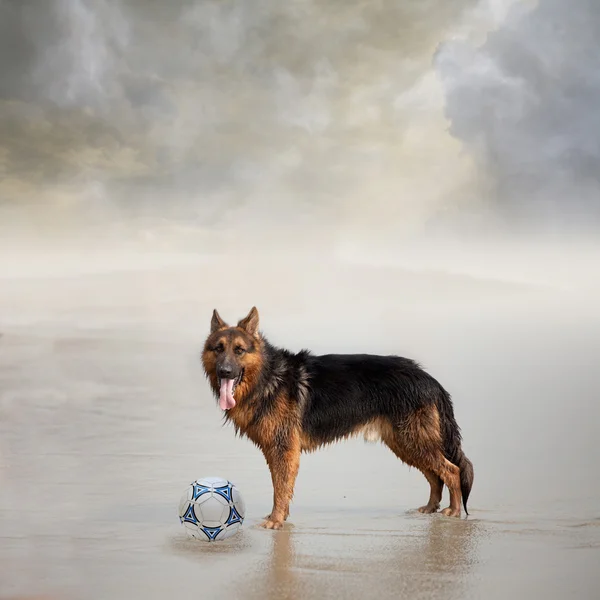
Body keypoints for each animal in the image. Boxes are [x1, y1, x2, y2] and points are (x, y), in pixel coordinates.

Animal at [202, 308, 474, 528]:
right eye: (218, 349)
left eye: (239, 350)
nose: (225, 372)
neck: (267, 377)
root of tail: (429, 379)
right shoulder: (276, 451)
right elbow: (282, 487)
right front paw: (279, 517)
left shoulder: (283, 450)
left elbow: (280, 488)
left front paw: (276, 521)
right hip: (405, 443)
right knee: (435, 475)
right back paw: (430, 508)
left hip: (413, 440)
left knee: (452, 471)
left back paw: (454, 511)